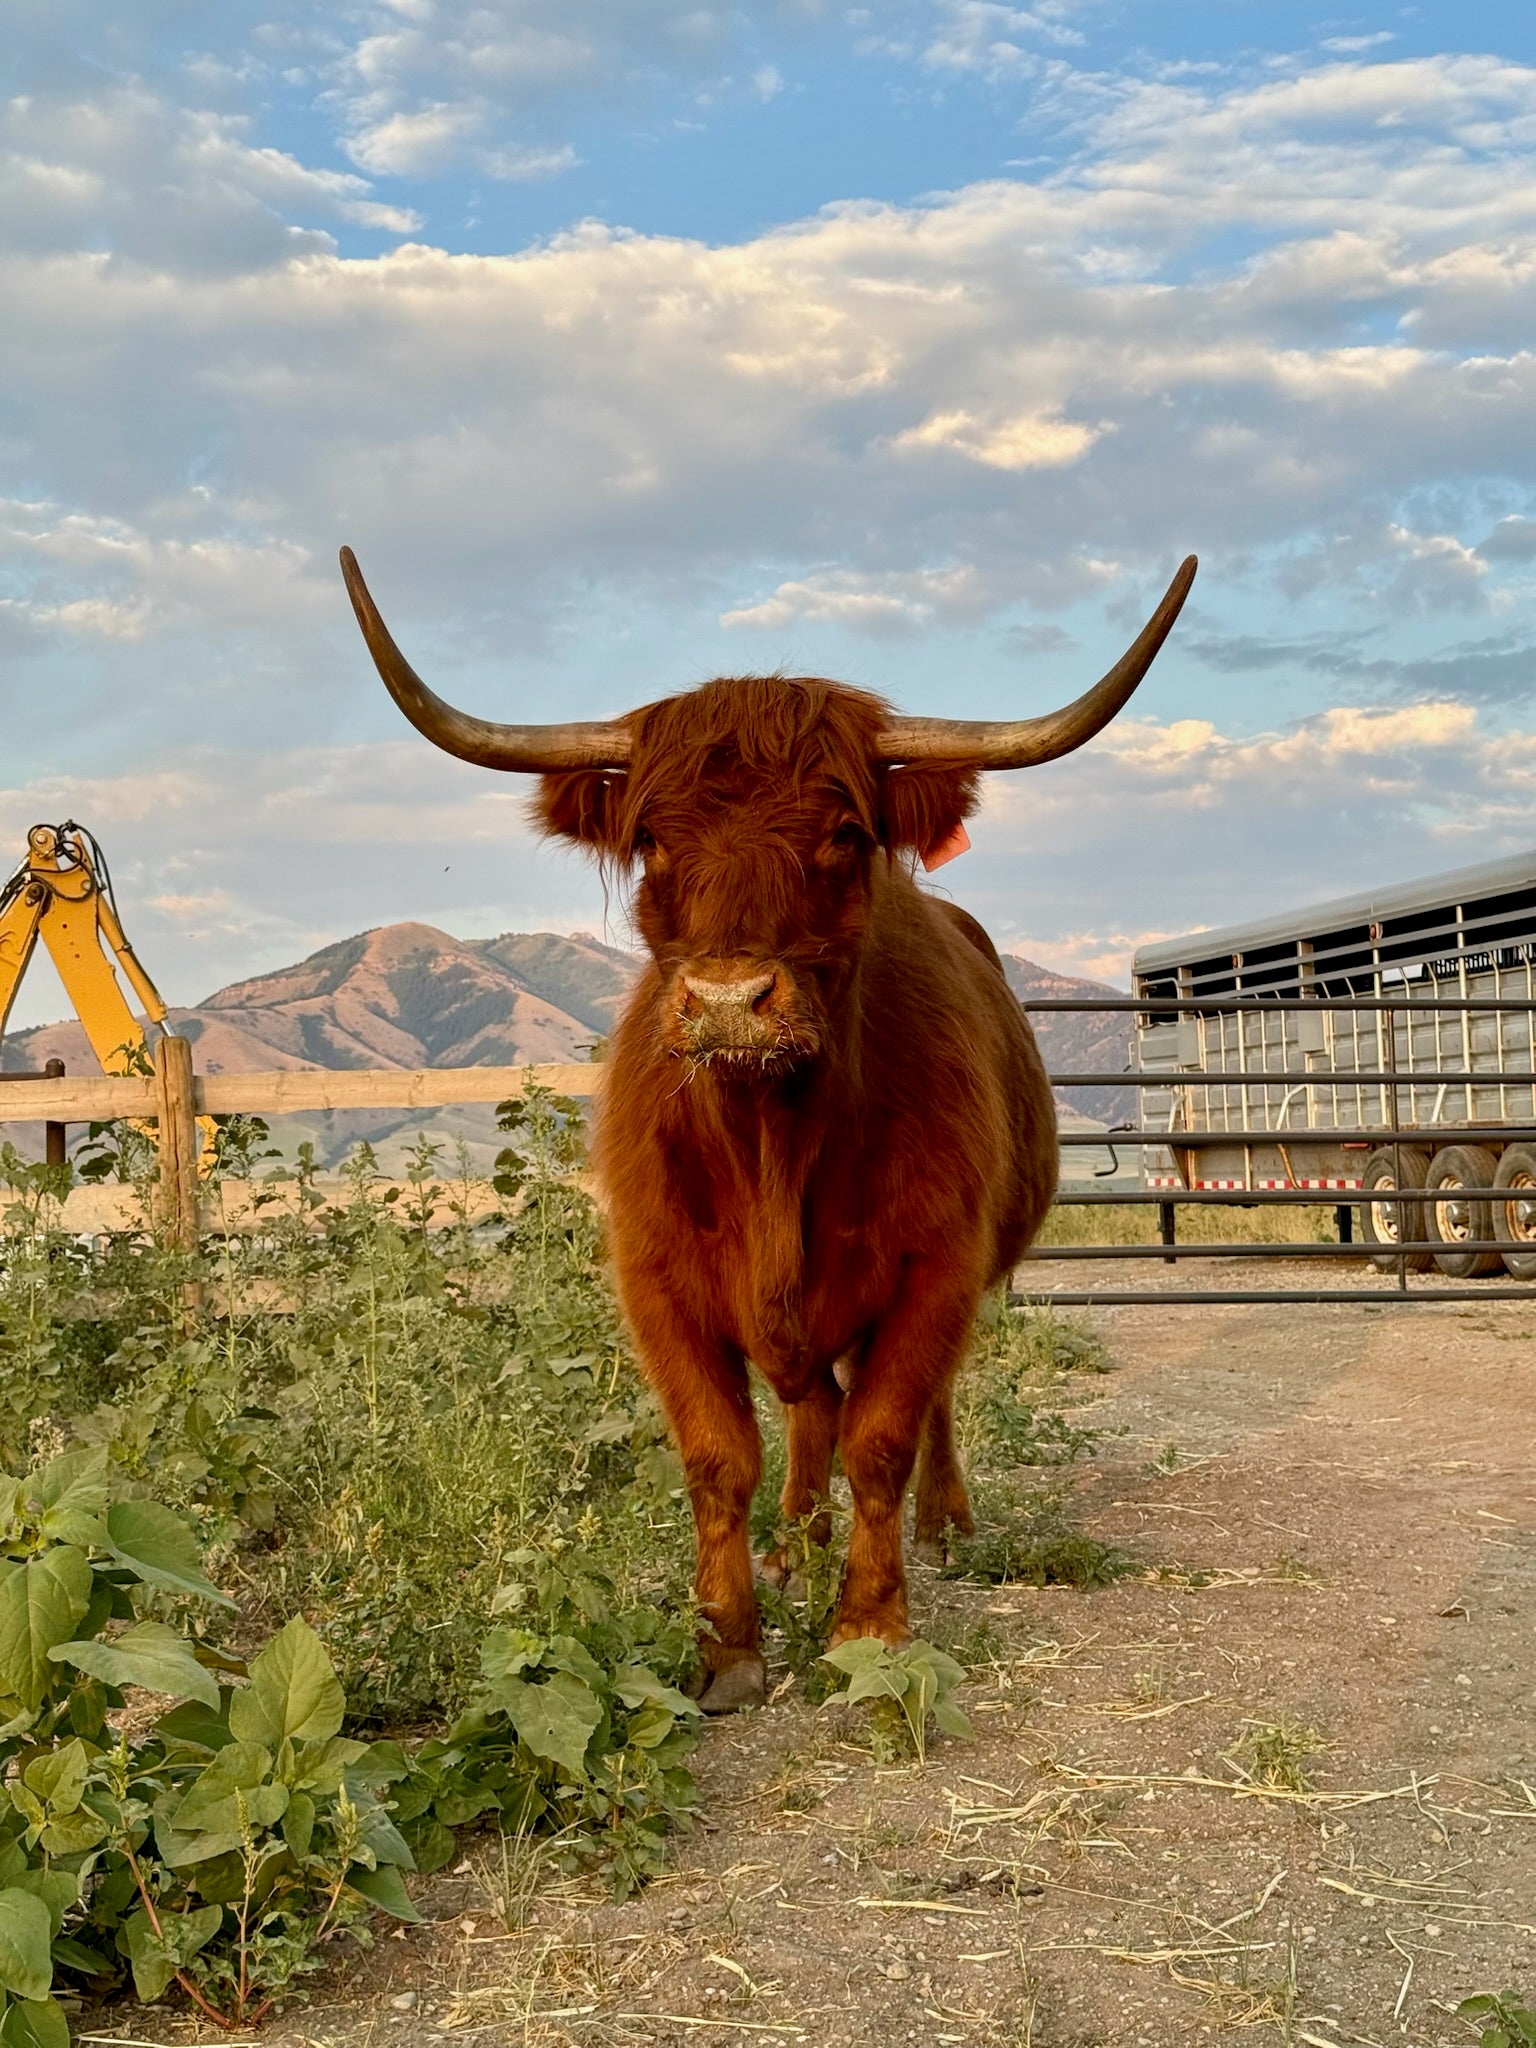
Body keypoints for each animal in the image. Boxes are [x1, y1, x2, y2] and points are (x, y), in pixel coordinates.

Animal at [342, 548, 1196, 1712]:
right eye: (653, 838)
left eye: (844, 833)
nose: (729, 1001)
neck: (773, 1144)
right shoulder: (657, 1281)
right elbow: (720, 1454)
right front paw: (730, 1641)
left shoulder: (935, 1269)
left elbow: (883, 1436)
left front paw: (871, 1625)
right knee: (809, 1409)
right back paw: (795, 1541)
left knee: (915, 1411)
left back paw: (943, 1524)